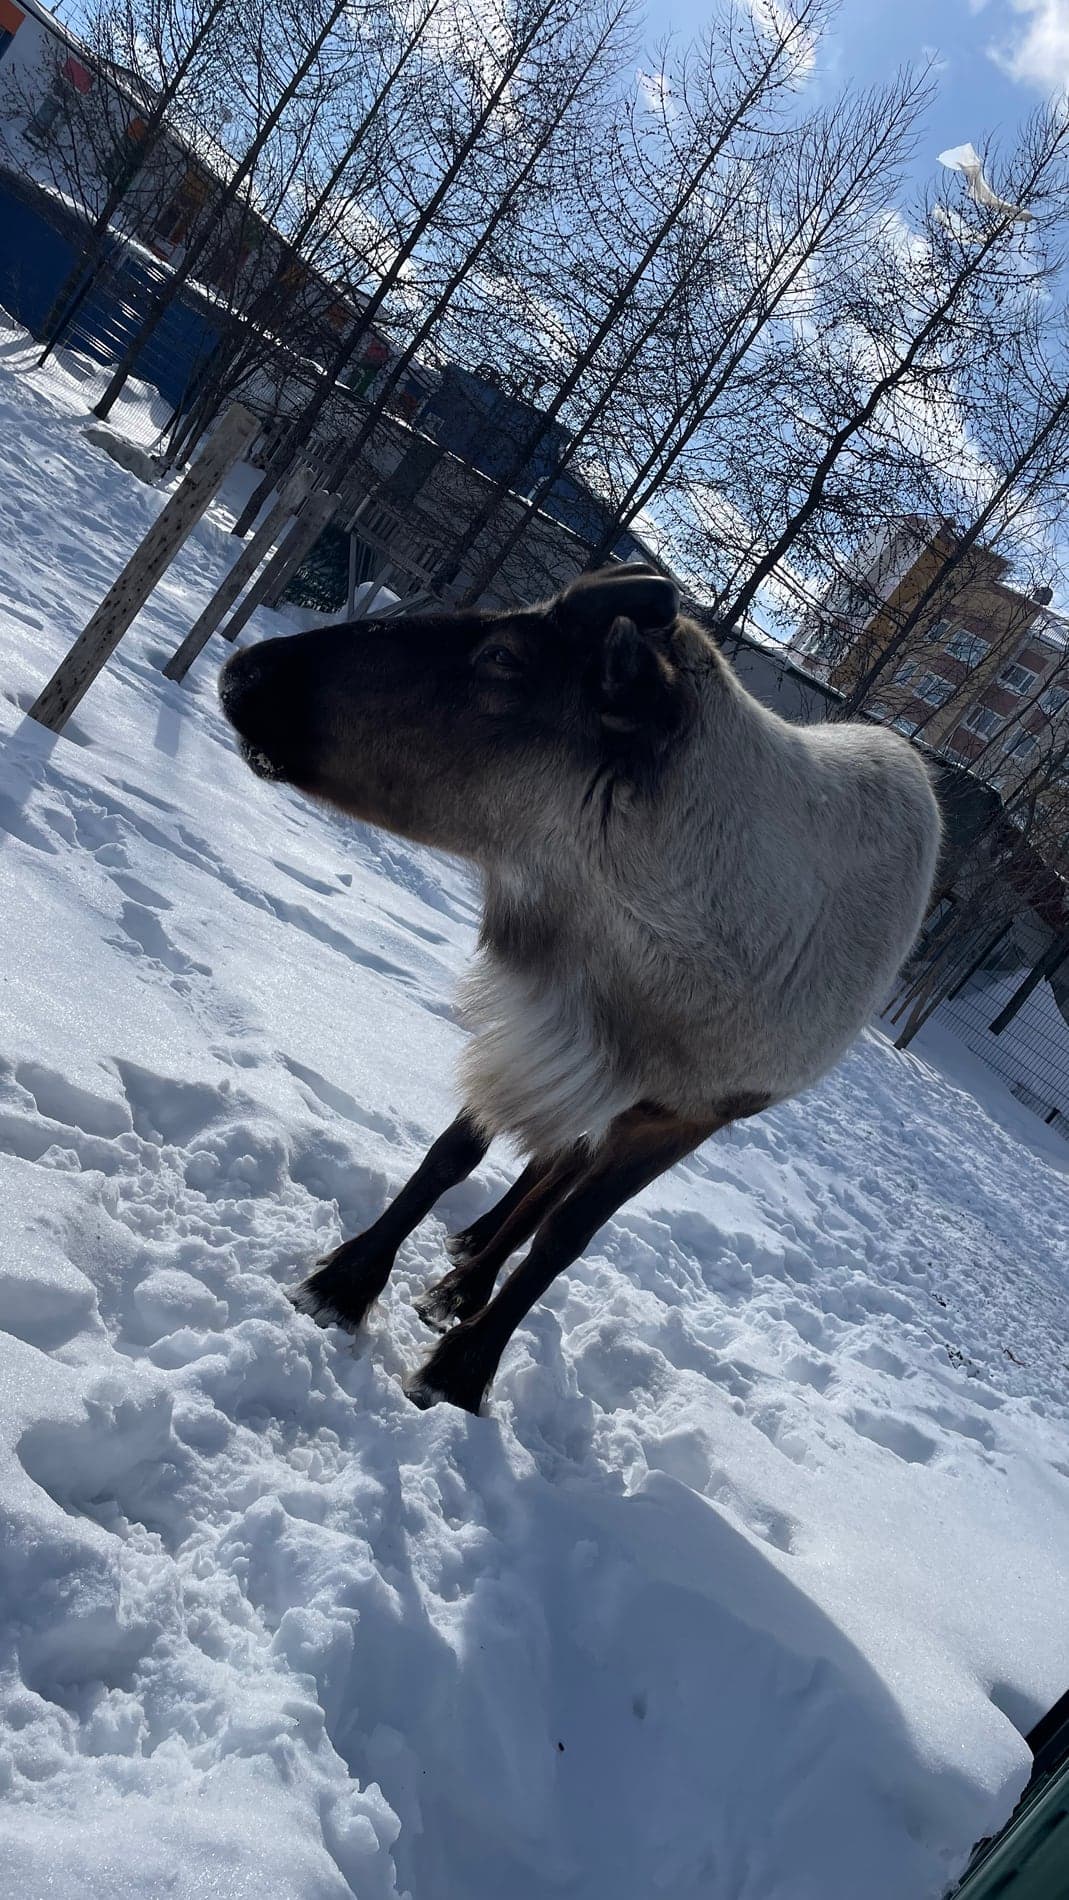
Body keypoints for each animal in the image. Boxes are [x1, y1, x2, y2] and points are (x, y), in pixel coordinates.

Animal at [219, 564, 941, 1415]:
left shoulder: (685, 1113)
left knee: (559, 1187)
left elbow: (567, 1237)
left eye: (503, 658)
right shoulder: (547, 1026)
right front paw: (347, 1280)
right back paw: (467, 1261)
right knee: (549, 1162)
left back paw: (467, 1288)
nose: (244, 673)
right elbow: (455, 1153)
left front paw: (461, 1370)